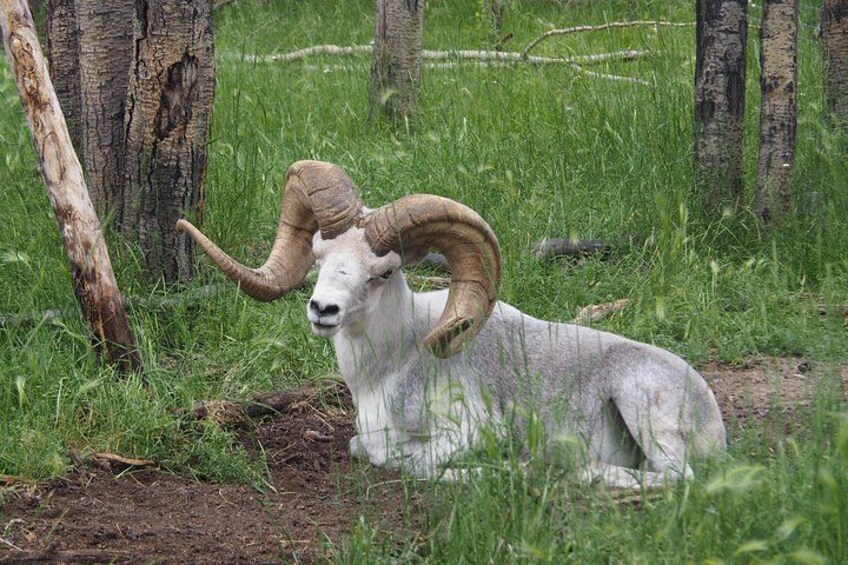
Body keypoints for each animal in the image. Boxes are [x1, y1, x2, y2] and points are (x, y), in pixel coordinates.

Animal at [177, 160, 726, 488]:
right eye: (318, 256)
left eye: (384, 272)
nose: (323, 311)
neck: (388, 370)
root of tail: (711, 418)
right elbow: (362, 446)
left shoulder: (470, 429)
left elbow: (404, 459)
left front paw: (495, 470)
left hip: (640, 404)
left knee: (677, 478)